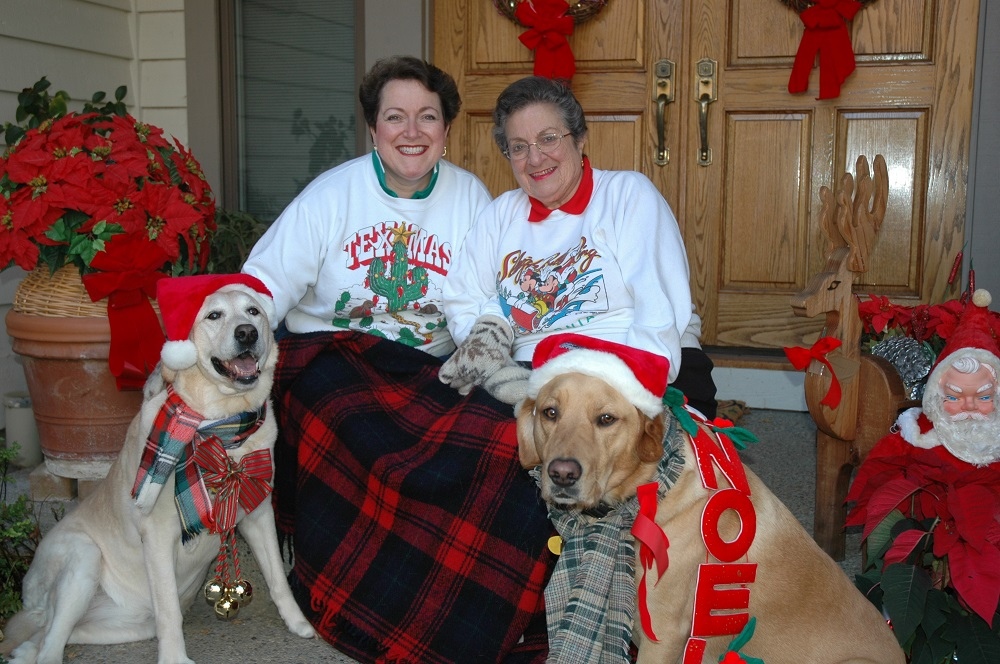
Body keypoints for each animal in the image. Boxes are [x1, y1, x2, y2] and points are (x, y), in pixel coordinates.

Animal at [1, 276, 314, 664]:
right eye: (214, 315)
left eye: (253, 311)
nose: (247, 333)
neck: (222, 426)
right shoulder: (159, 535)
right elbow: (169, 611)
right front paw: (175, 659)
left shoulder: (257, 514)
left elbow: (278, 580)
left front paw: (299, 624)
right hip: (83, 557)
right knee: (50, 644)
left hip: (124, 624)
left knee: (45, 639)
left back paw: (24, 650)